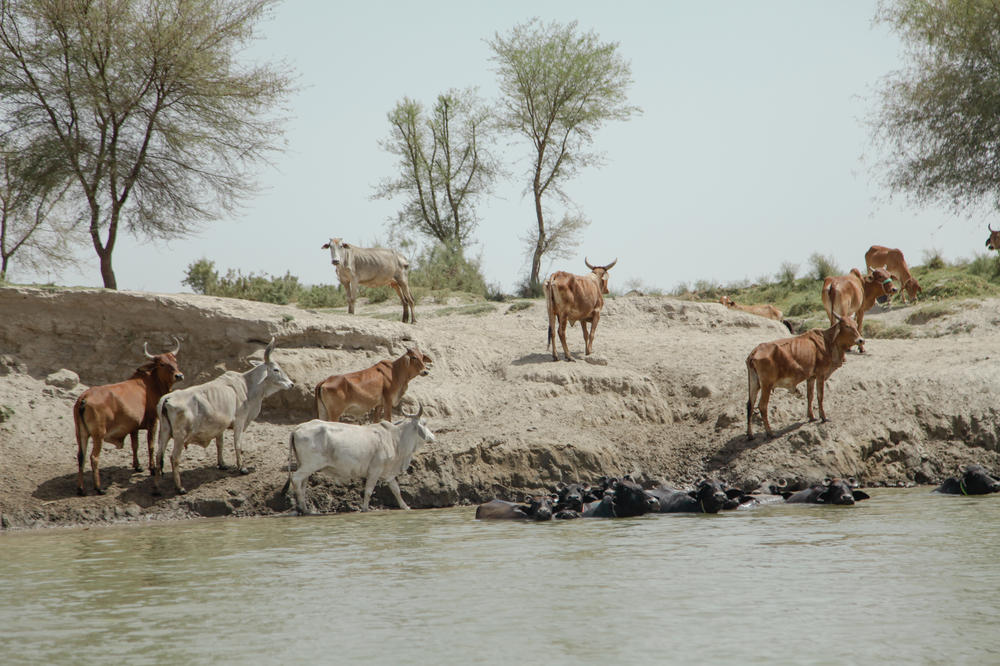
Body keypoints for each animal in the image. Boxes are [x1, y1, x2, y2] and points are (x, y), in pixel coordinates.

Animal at [75, 338, 185, 492]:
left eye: (175, 361)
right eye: (162, 364)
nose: (179, 375)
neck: (150, 384)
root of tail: (84, 398)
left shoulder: (133, 427)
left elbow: (135, 445)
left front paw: (137, 466)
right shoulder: (153, 421)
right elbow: (151, 445)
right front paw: (152, 468)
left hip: (81, 433)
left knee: (81, 456)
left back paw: (81, 488)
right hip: (98, 435)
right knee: (93, 457)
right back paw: (99, 488)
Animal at [152, 338, 292, 492]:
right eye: (276, 369)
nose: (291, 384)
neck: (247, 386)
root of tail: (167, 399)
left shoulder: (220, 426)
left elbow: (220, 444)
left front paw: (222, 464)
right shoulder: (239, 421)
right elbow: (238, 444)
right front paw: (242, 468)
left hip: (164, 432)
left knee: (159, 455)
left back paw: (157, 488)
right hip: (180, 437)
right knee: (174, 458)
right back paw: (180, 488)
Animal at [284, 400, 436, 512]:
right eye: (424, 423)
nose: (433, 437)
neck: (394, 439)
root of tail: (298, 428)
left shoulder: (388, 473)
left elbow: (396, 490)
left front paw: (405, 506)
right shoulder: (375, 470)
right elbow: (368, 490)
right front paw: (365, 509)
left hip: (304, 465)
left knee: (303, 484)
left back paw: (305, 508)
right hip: (310, 465)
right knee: (296, 479)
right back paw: (303, 509)